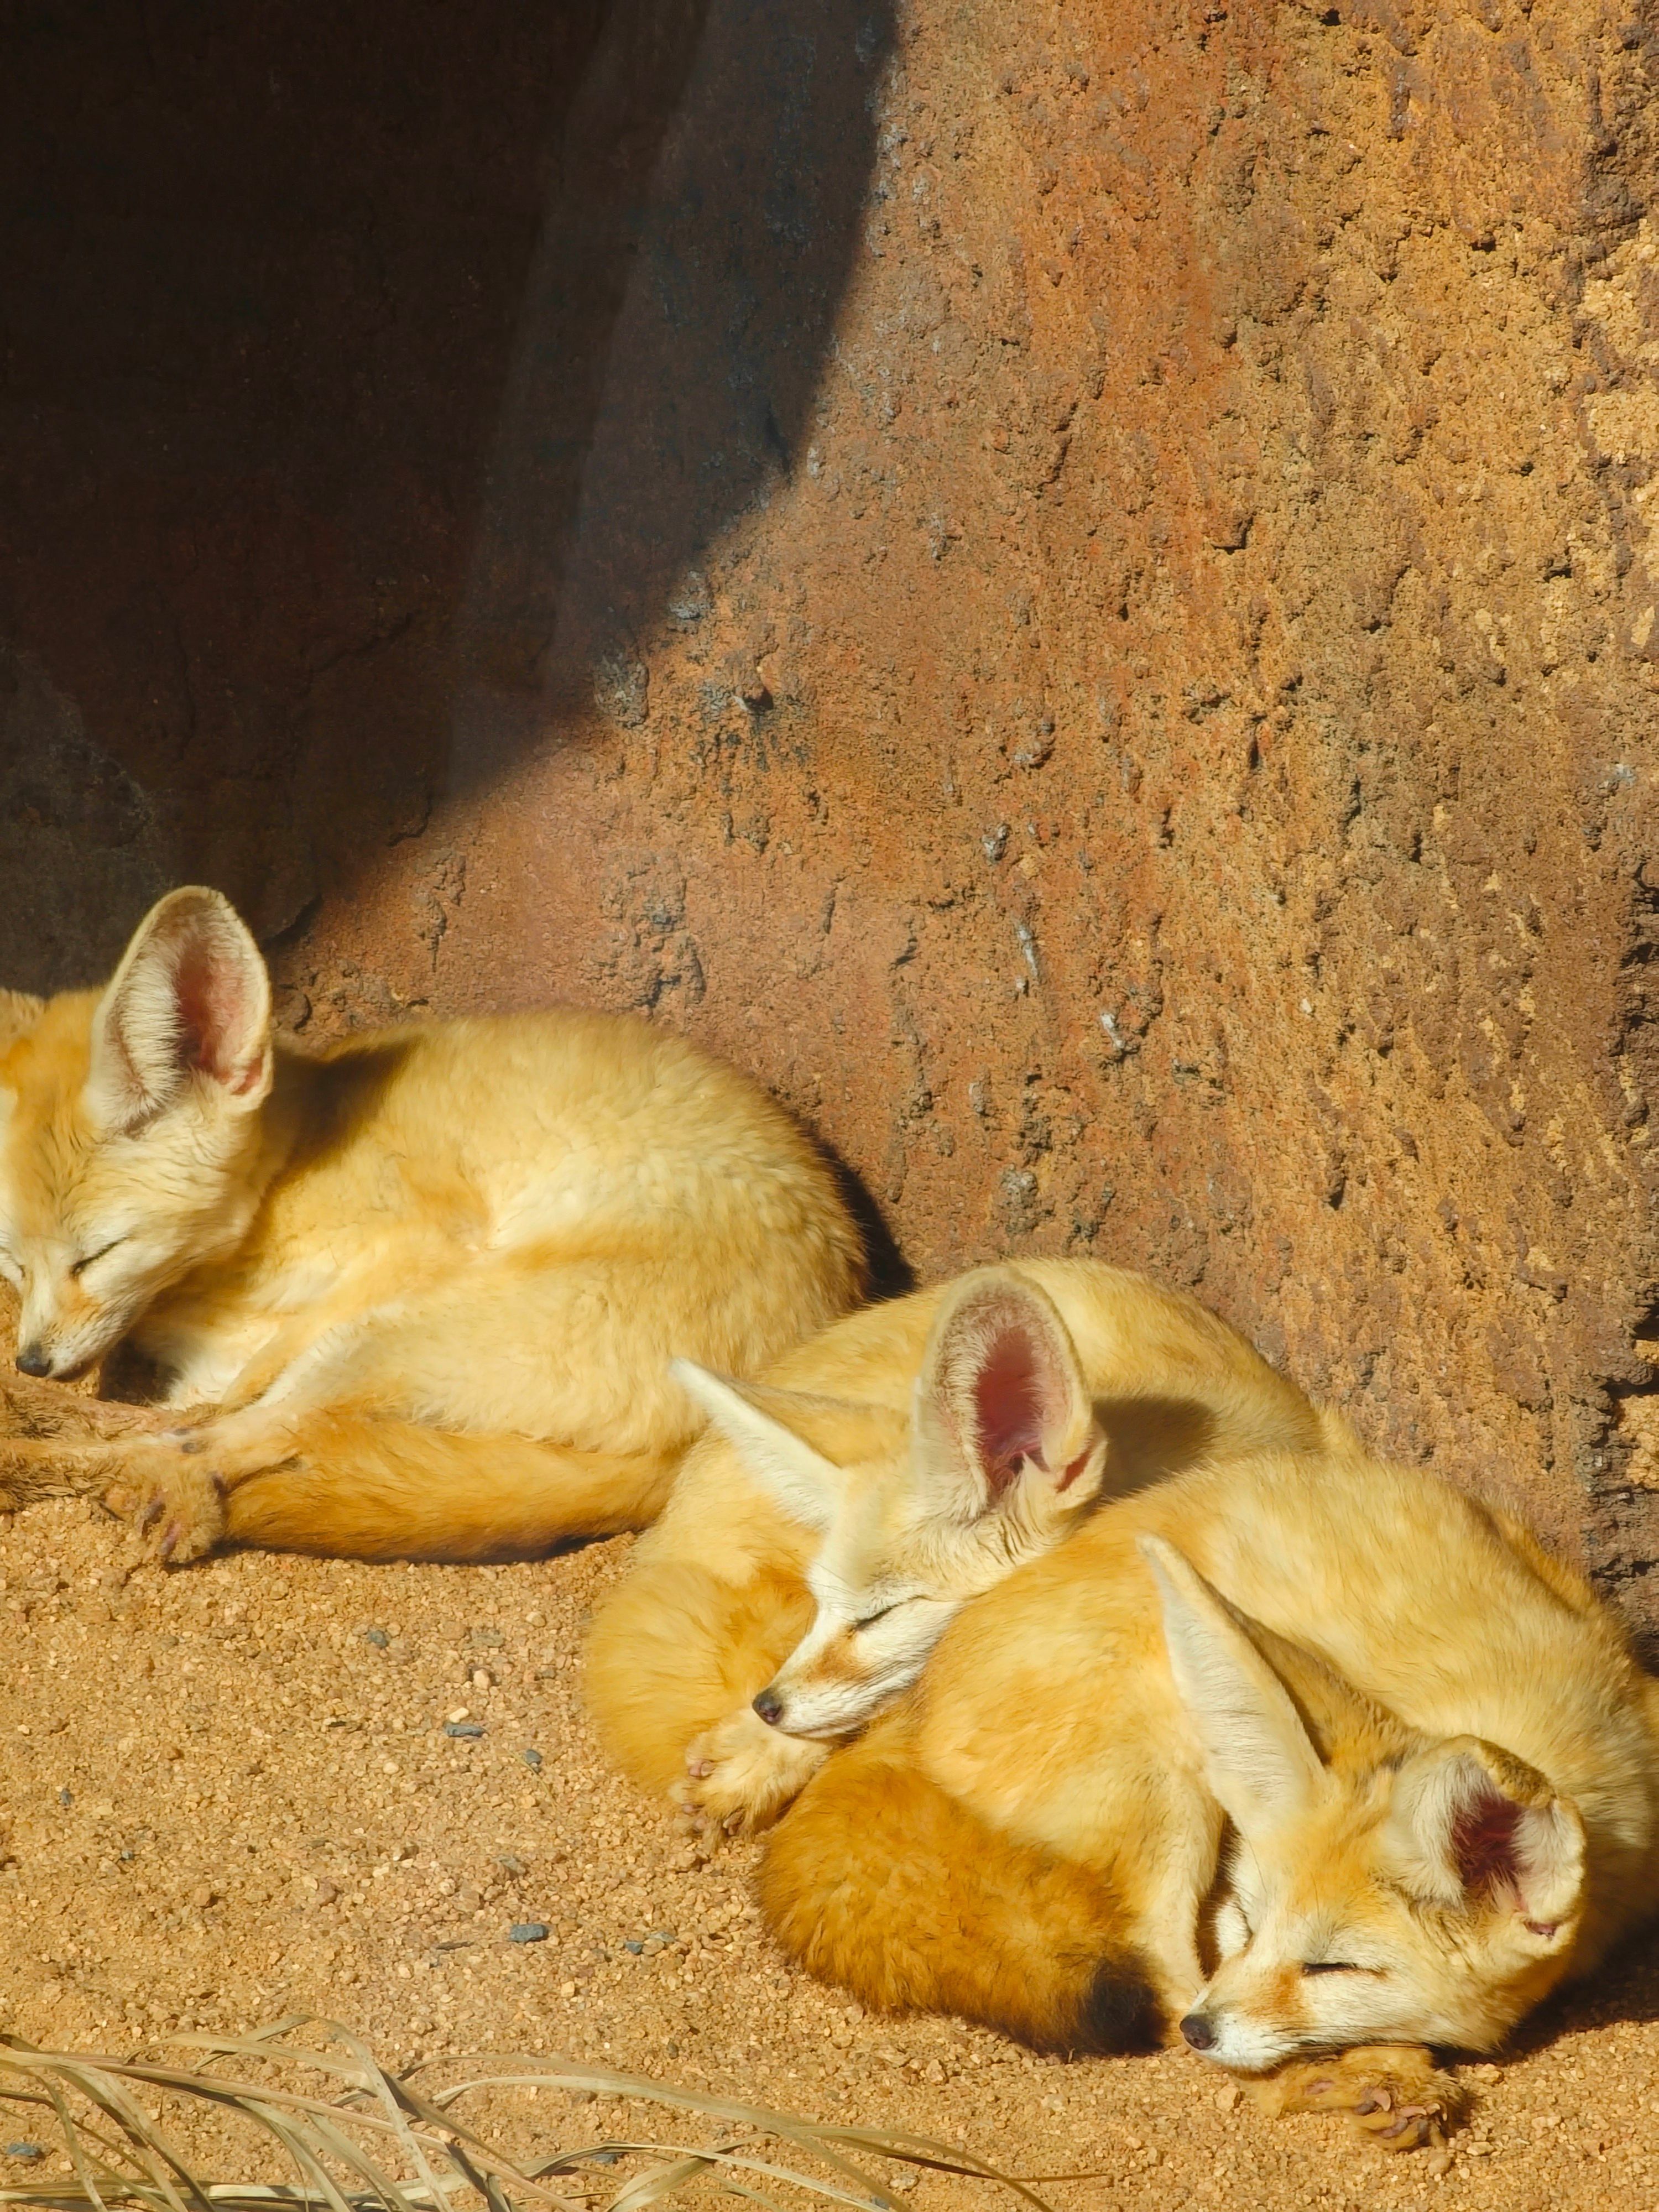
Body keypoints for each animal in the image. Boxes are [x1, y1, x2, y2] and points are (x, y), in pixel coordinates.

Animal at [0, 885, 865, 1562]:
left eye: (99, 1255)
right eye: (11, 1261)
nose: (35, 1361)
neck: (287, 1175)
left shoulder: (423, 1238)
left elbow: (227, 1404)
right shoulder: (206, 1358)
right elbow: (188, 1404)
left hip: (391, 1335)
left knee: (238, 1436)